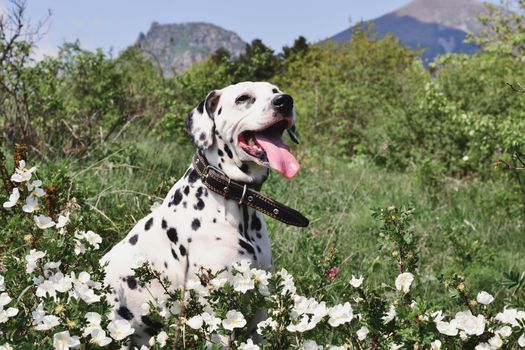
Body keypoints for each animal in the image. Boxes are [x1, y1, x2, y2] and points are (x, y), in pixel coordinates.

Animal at [100, 80, 300, 346]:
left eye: (276, 91)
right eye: (243, 98)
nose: (285, 102)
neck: (234, 201)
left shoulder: (260, 304)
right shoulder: (217, 312)